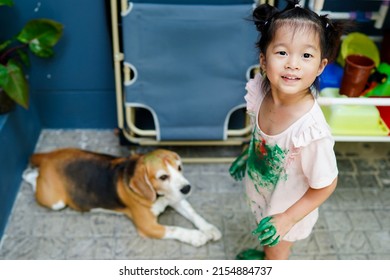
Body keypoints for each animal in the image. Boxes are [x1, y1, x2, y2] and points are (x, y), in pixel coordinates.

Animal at [22, 148, 221, 246]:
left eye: (179, 168)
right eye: (163, 177)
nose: (187, 188)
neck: (158, 196)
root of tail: (49, 156)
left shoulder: (175, 198)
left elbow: (194, 214)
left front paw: (209, 228)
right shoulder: (148, 227)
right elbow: (175, 229)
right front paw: (196, 236)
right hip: (55, 201)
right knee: (33, 178)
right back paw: (27, 173)